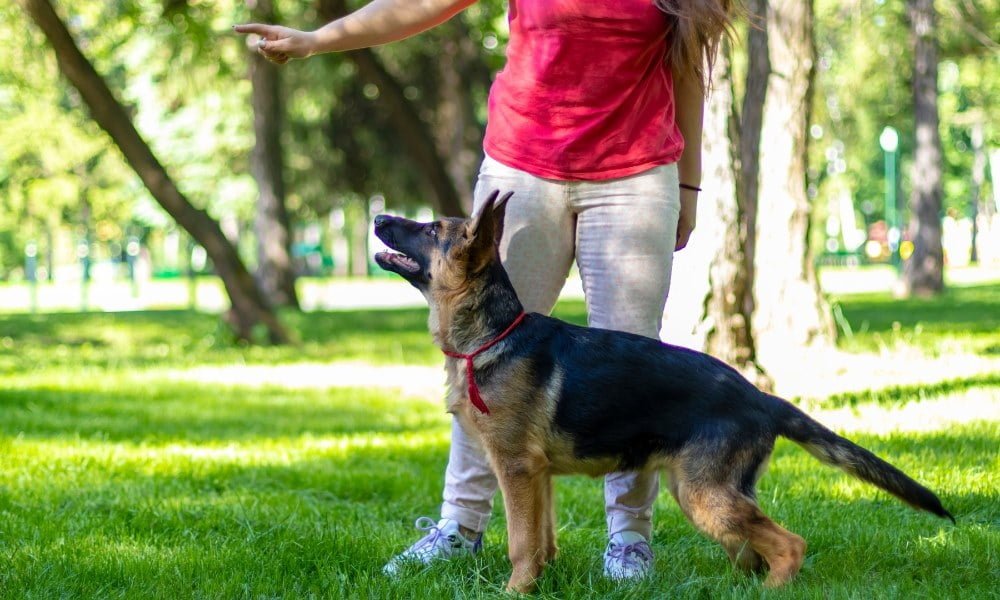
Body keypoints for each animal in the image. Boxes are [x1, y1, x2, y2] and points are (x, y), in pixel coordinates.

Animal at [372, 191, 948, 592]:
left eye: (430, 229)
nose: (377, 219)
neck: (493, 334)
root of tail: (762, 398)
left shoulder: (514, 468)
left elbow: (520, 543)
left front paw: (514, 593)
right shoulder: (537, 476)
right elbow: (541, 541)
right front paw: (537, 585)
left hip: (703, 496)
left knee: (789, 545)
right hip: (706, 493)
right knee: (751, 549)